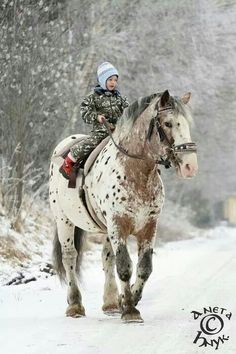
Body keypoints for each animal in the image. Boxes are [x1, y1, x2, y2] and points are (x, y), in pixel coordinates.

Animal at [49, 90, 197, 322]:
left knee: (107, 258)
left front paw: (128, 301)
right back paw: (75, 305)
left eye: (186, 123)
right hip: (64, 220)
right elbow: (125, 266)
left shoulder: (149, 226)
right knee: (70, 256)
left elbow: (144, 268)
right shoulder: (118, 224)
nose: (191, 166)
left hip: (105, 228)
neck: (135, 171)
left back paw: (110, 303)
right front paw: (129, 310)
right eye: (168, 123)